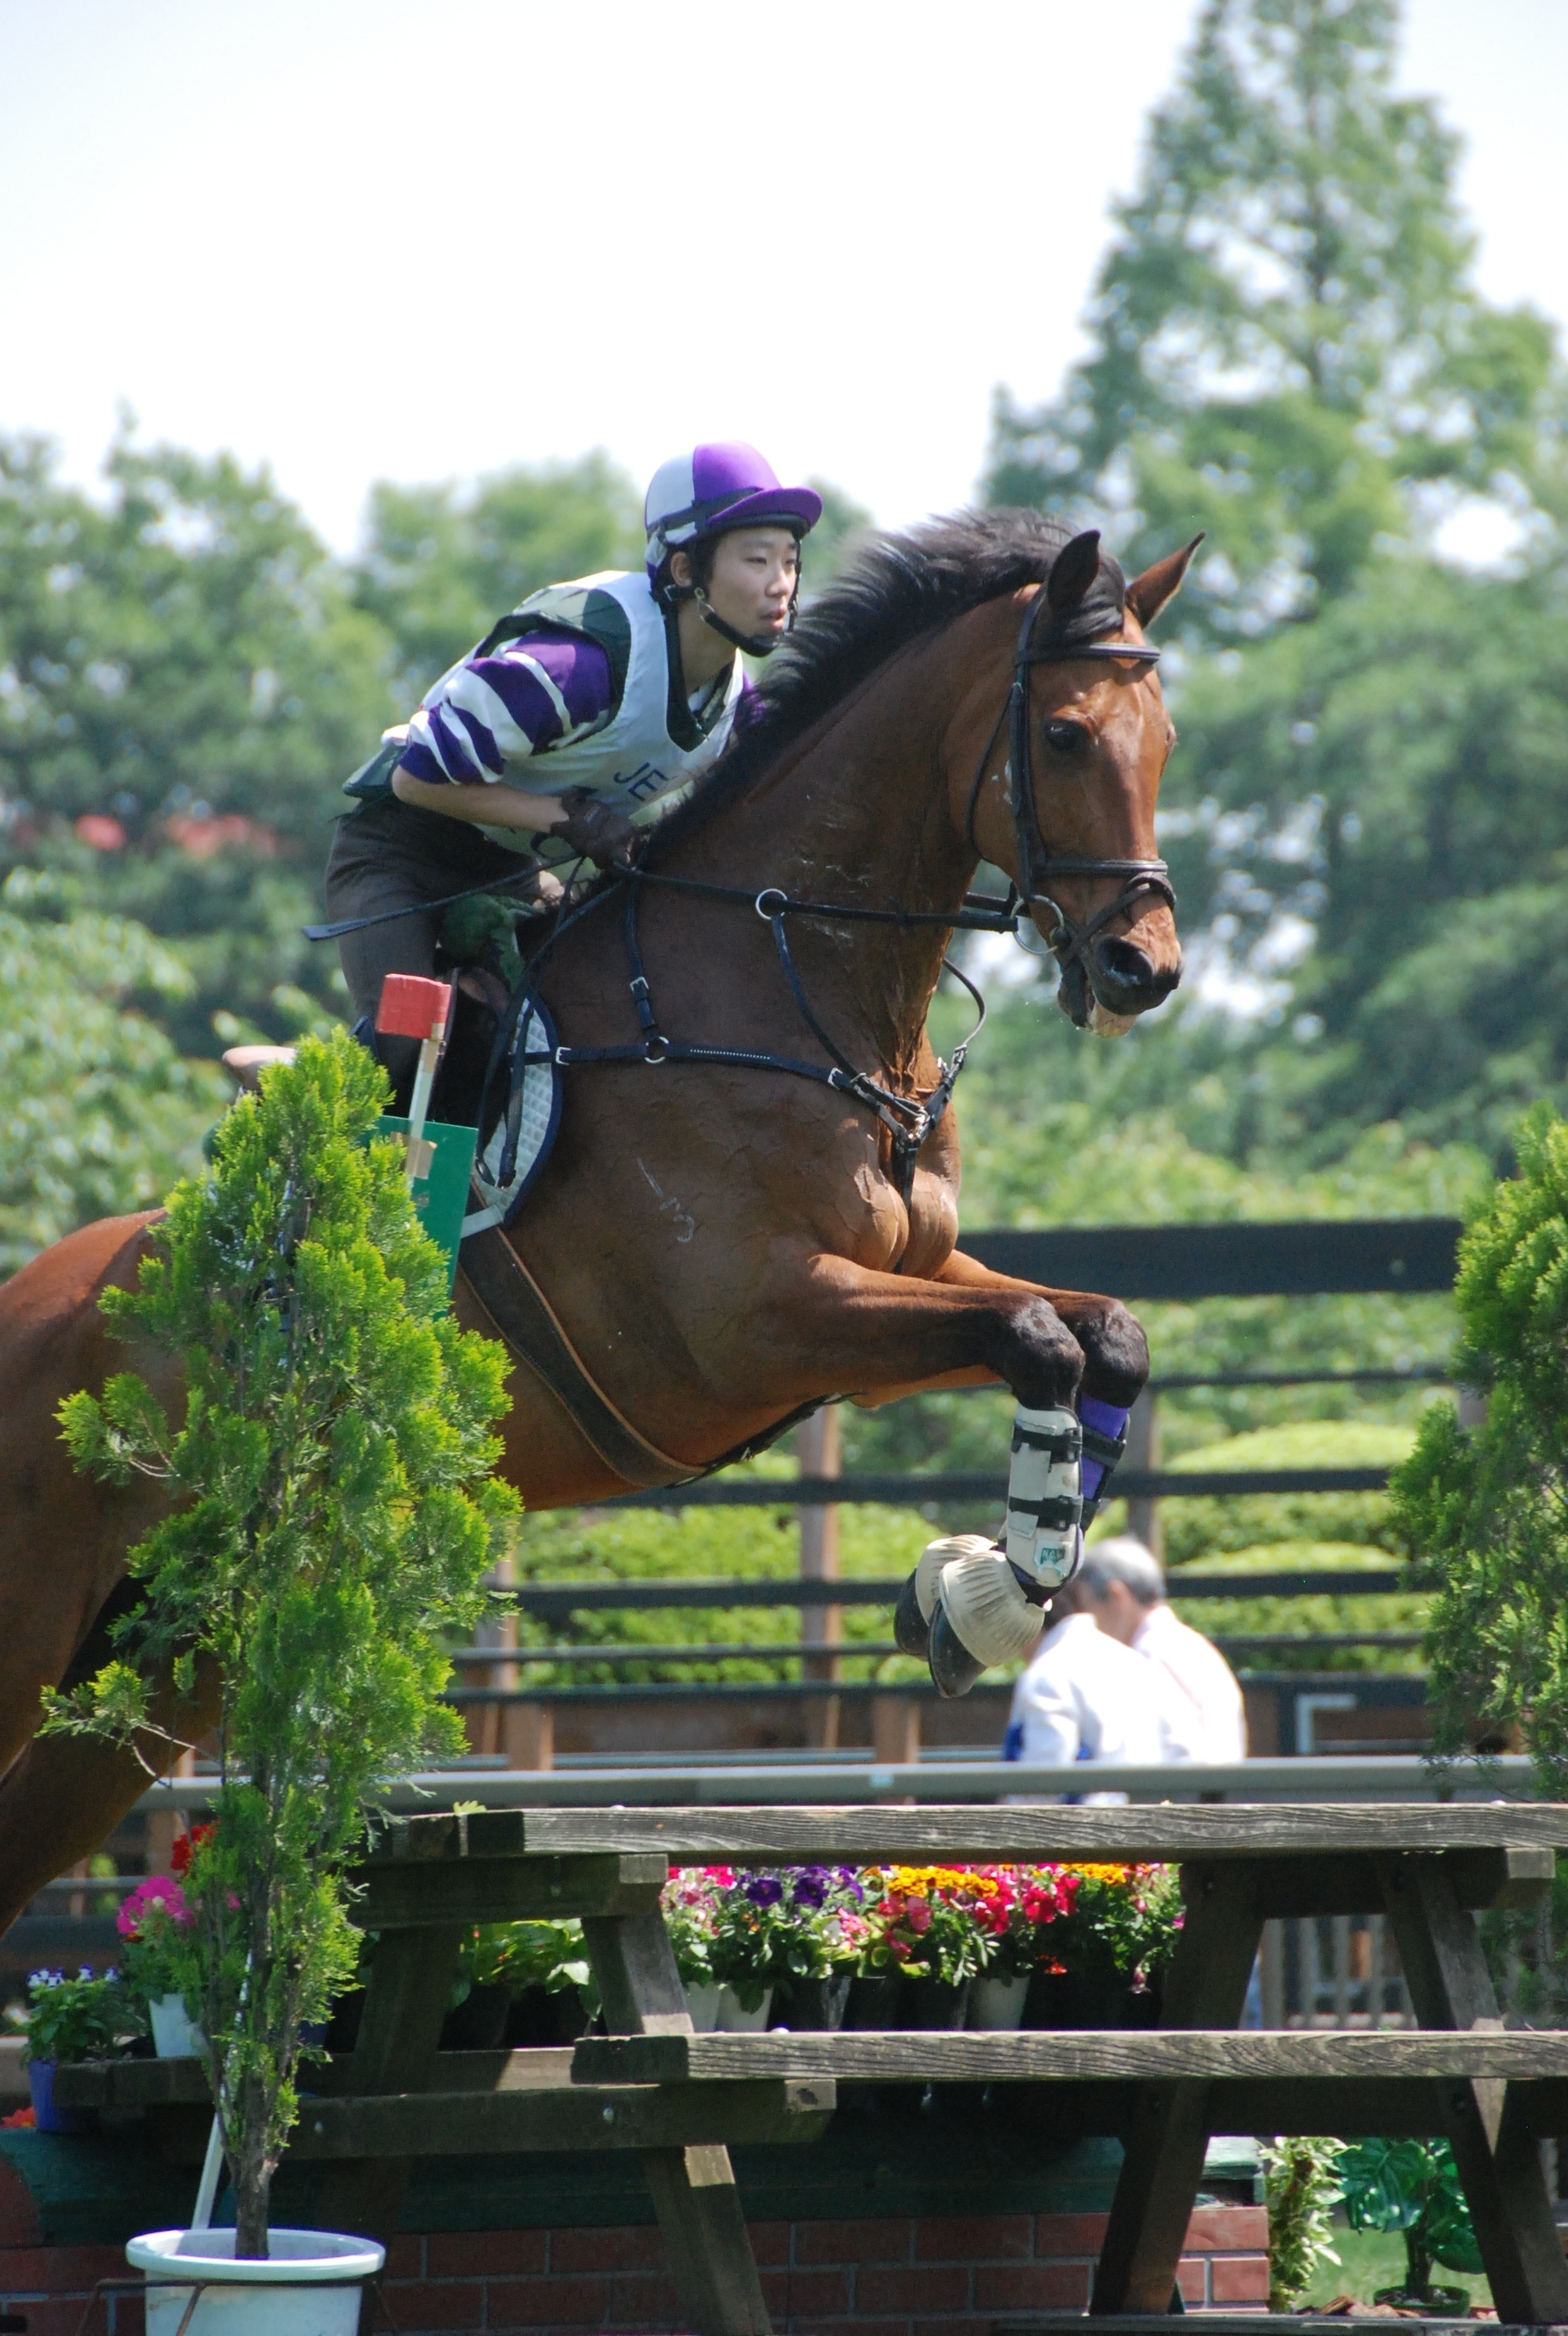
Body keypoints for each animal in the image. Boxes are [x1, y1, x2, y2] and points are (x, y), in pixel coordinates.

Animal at [0, 507, 1191, 1915]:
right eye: (1062, 736)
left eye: (1164, 739)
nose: (1145, 968)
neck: (785, 983)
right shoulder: (764, 1324)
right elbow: (1038, 1341)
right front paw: (991, 1591)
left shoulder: (899, 1292)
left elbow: (1097, 1331)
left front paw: (967, 1593)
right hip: (36, 1613)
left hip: (162, 1659)